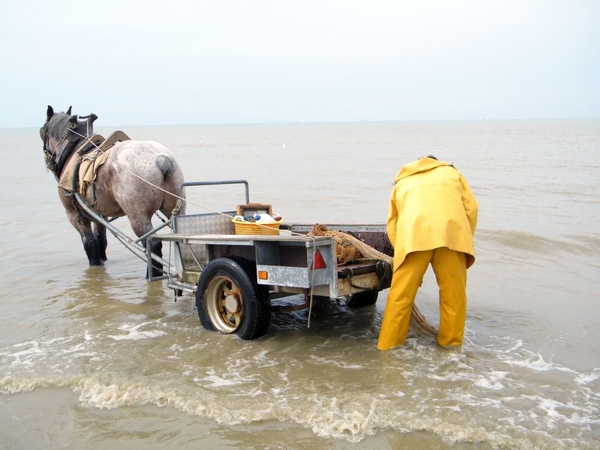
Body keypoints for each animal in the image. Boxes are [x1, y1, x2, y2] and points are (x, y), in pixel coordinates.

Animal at [40, 105, 184, 276]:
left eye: (43, 131)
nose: (48, 161)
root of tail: (161, 159)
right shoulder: (99, 214)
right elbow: (100, 240)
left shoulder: (75, 216)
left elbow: (90, 244)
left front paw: (95, 264)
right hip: (174, 209)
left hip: (138, 216)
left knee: (152, 245)